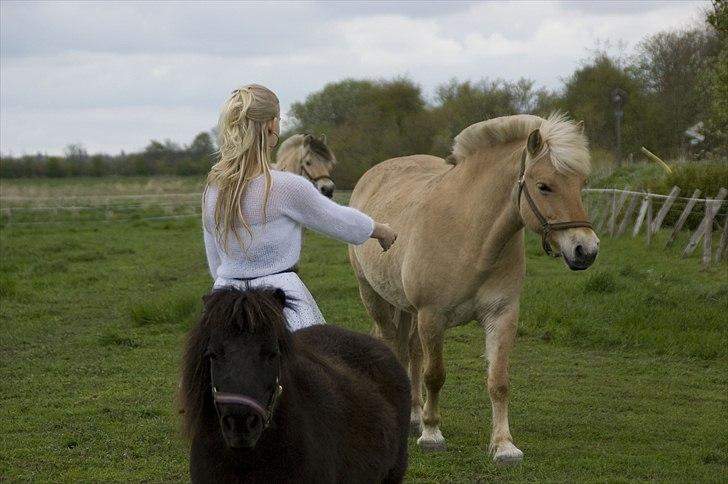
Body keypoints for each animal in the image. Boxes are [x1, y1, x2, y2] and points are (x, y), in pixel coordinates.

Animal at [350, 113, 600, 466]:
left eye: (581, 183)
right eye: (544, 186)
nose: (586, 250)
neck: (471, 235)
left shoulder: (502, 315)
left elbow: (498, 381)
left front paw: (504, 445)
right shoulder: (432, 316)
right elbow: (435, 375)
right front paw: (432, 434)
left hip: (408, 311)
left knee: (411, 351)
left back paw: (413, 415)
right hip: (375, 298)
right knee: (393, 345)